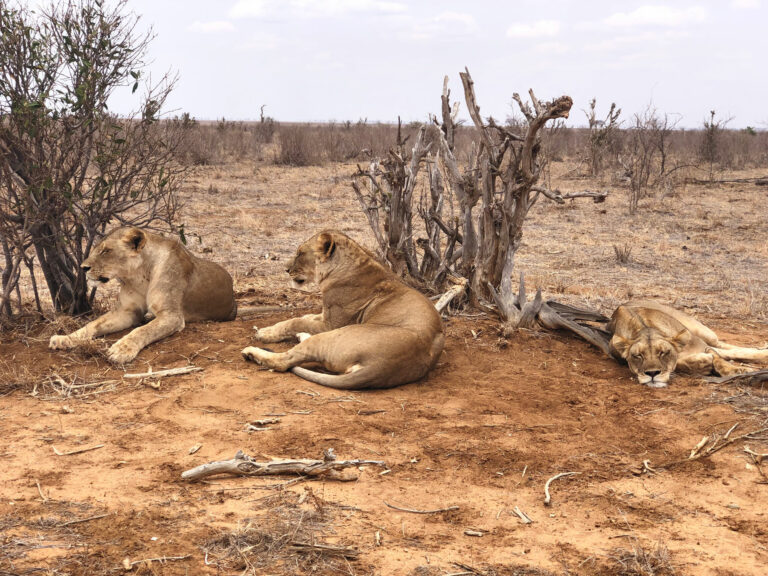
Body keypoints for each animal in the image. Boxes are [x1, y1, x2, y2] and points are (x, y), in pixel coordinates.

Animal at [49, 227, 236, 362]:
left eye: (106, 251)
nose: (83, 267)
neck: (138, 275)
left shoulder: (172, 316)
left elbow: (143, 331)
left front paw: (121, 350)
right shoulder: (127, 311)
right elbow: (93, 324)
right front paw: (65, 338)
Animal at [240, 232, 444, 390]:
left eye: (300, 253)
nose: (286, 269)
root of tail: (381, 368)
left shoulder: (330, 324)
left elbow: (296, 320)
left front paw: (265, 332)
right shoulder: (324, 316)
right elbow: (305, 316)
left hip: (333, 335)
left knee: (285, 360)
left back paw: (251, 352)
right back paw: (301, 336)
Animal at [608, 302, 768, 388]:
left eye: (664, 352)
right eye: (638, 356)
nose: (652, 374)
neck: (645, 328)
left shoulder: (700, 344)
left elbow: (718, 358)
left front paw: (737, 371)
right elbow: (681, 363)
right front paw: (700, 363)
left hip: (701, 331)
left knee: (723, 346)